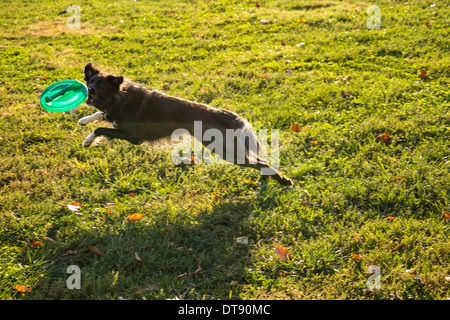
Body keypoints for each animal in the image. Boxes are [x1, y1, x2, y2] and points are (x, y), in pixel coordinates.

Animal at [79, 62, 294, 186]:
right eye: (90, 80)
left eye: (100, 84)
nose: (89, 89)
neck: (119, 97)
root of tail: (227, 115)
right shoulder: (113, 117)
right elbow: (100, 115)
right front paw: (83, 120)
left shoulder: (133, 137)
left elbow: (100, 128)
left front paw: (88, 140)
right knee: (260, 161)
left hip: (227, 151)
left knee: (261, 162)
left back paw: (284, 182)